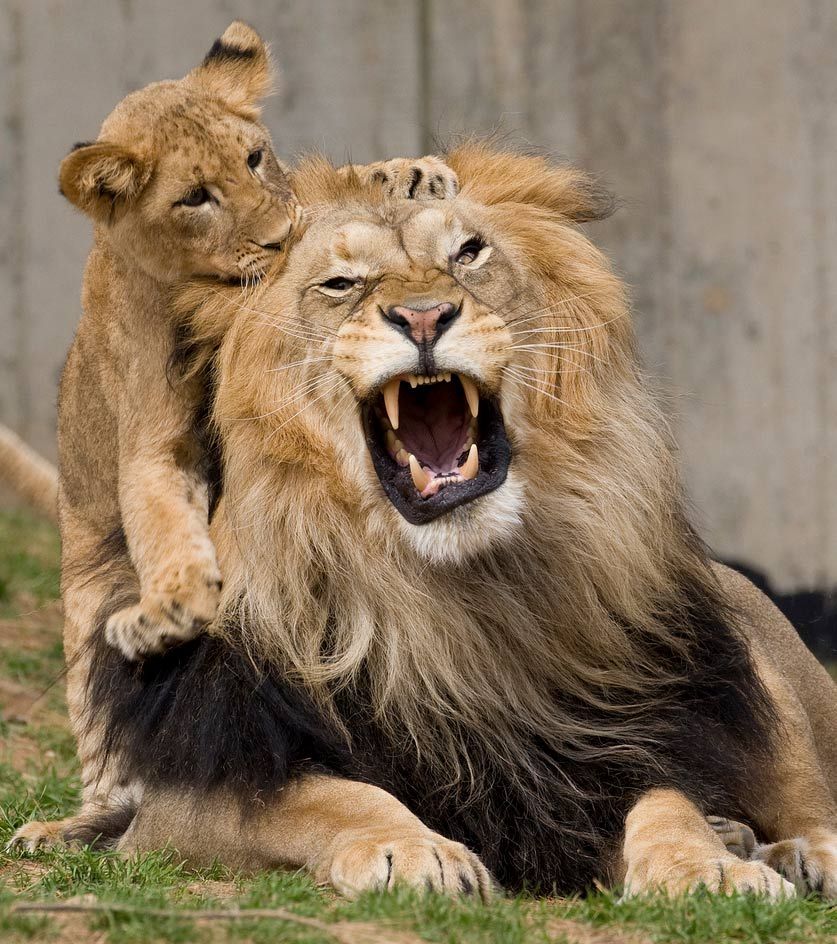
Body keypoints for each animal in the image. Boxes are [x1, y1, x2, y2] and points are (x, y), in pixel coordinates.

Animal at [14, 144, 836, 896]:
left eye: (468, 254)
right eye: (340, 284)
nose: (423, 316)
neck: (448, 599)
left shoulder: (605, 745)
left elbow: (669, 800)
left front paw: (708, 865)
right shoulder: (198, 797)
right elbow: (329, 796)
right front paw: (411, 850)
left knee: (807, 790)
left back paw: (792, 852)